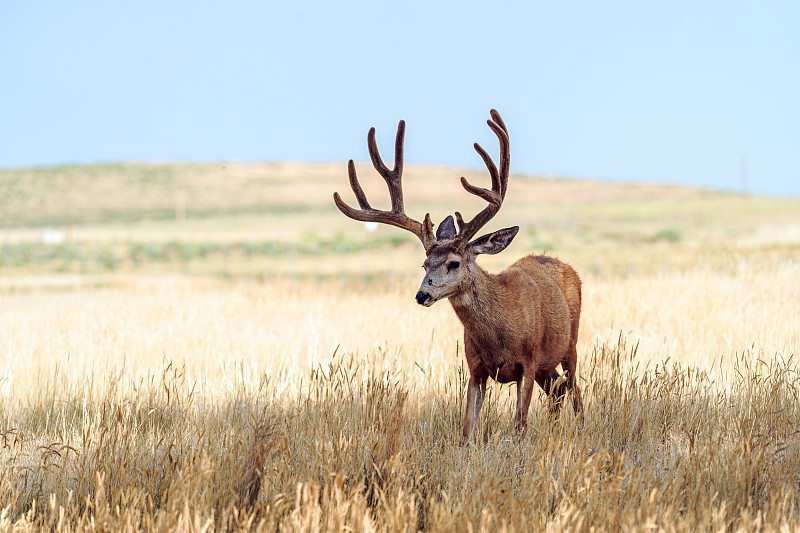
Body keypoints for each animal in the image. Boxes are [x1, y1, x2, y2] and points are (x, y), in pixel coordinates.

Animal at [332, 109, 580, 444]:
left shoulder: (528, 362)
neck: (500, 334)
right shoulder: (475, 368)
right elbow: (466, 432)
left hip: (570, 345)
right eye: (424, 264)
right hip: (547, 366)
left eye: (453, 263)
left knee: (575, 390)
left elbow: (519, 428)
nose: (422, 294)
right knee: (557, 391)